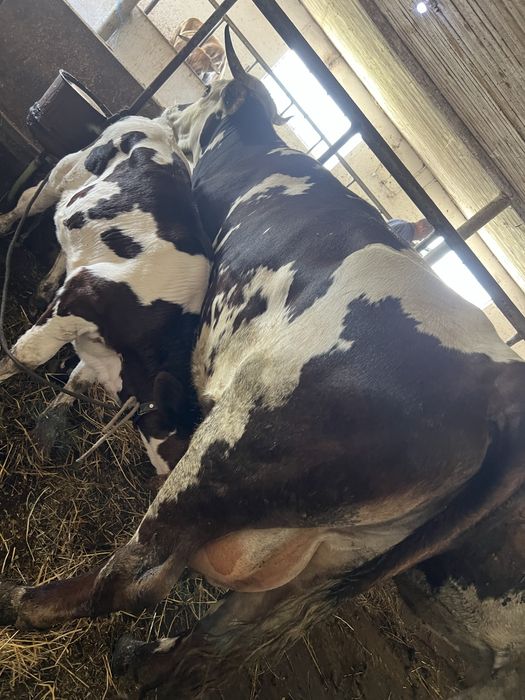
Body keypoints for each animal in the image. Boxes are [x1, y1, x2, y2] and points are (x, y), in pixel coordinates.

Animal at [0, 112, 211, 474]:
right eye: (184, 445)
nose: (165, 477)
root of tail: (158, 123)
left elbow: (79, 379)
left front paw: (50, 423)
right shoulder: (79, 301)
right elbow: (27, 356)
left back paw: (43, 289)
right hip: (69, 169)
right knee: (32, 200)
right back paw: (4, 224)